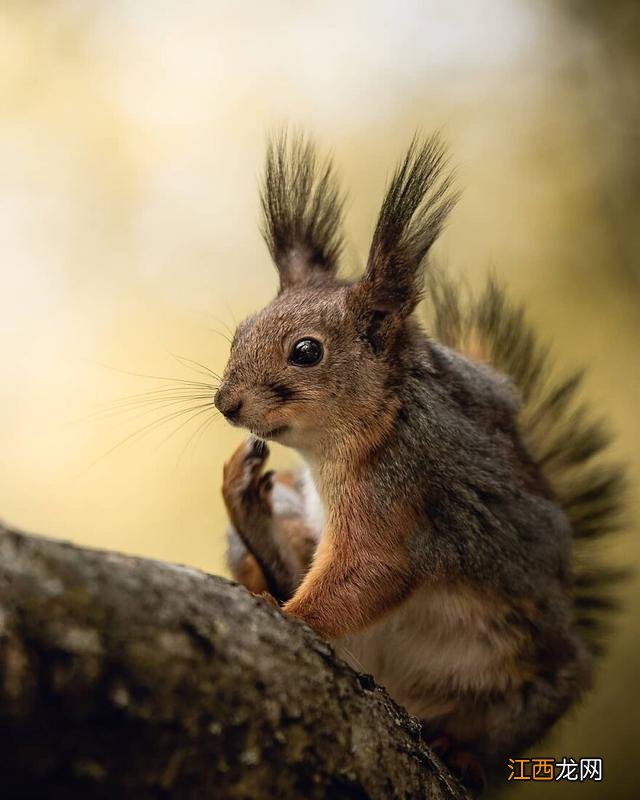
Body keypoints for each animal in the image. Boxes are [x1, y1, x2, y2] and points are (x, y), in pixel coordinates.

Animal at [212, 131, 624, 788]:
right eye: (240, 332)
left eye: (306, 352)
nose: (225, 403)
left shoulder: (399, 487)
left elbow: (371, 571)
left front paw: (291, 614)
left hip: (526, 670)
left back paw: (467, 750)